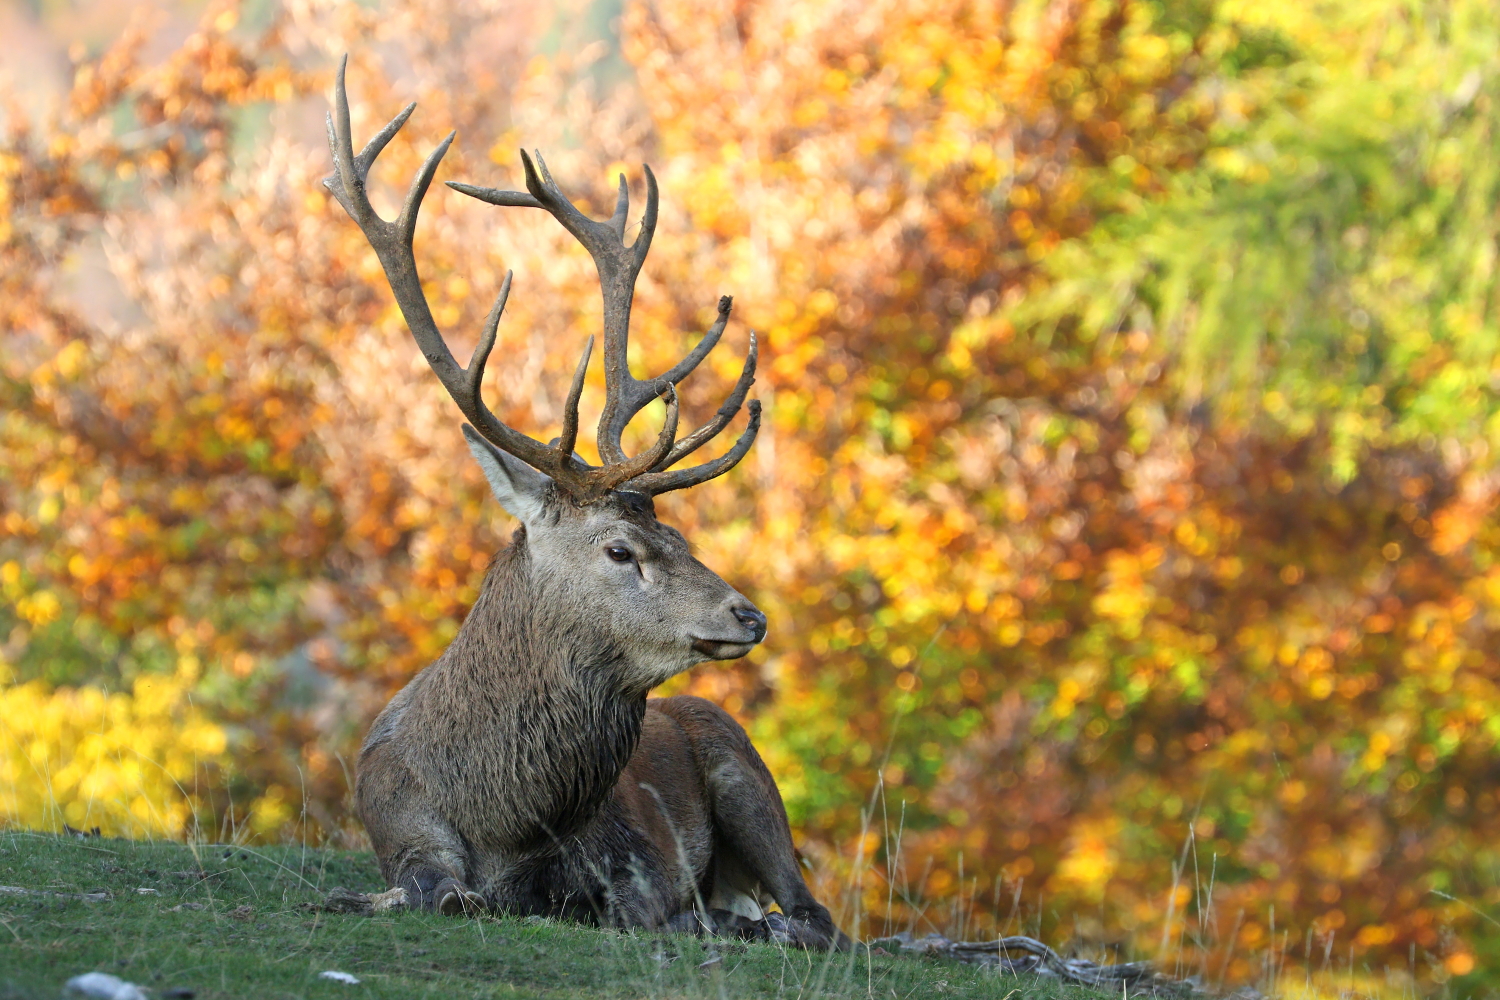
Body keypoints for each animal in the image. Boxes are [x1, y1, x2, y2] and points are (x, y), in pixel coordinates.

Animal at [324, 60, 848, 950]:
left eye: (679, 535)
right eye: (620, 548)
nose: (749, 616)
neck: (503, 817)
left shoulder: (627, 858)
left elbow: (635, 910)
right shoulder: (400, 824)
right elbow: (438, 891)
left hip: (746, 770)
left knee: (814, 914)